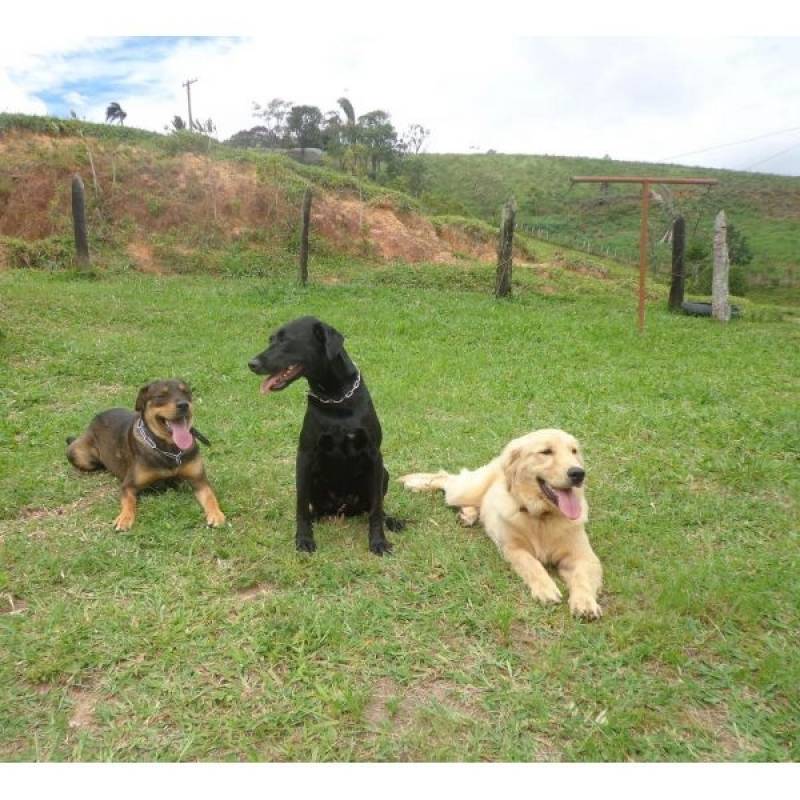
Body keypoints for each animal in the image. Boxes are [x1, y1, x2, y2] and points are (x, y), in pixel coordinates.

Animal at [66, 380, 225, 532]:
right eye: (161, 395)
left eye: (186, 392)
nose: (184, 405)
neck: (169, 448)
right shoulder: (128, 485)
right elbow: (129, 502)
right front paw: (124, 518)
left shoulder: (199, 481)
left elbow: (210, 497)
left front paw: (217, 514)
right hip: (77, 454)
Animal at [248, 316, 400, 552]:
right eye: (271, 339)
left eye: (285, 340)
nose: (252, 364)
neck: (336, 398)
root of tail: (344, 509)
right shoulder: (305, 455)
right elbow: (301, 506)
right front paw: (303, 538)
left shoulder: (375, 455)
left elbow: (376, 509)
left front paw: (378, 541)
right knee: (314, 510)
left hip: (383, 473)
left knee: (373, 507)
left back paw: (390, 520)